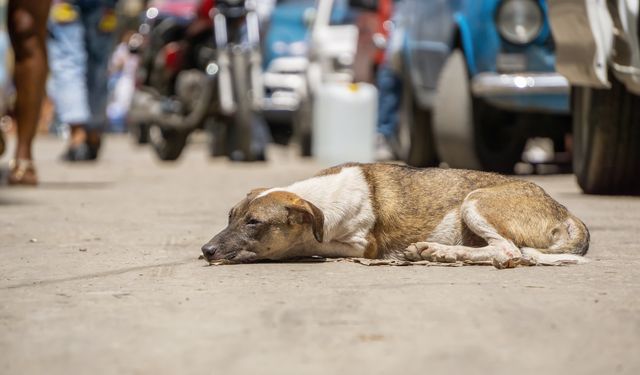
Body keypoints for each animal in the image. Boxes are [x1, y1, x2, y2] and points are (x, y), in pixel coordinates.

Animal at [201, 163, 592, 268]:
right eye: (230, 216)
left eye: (254, 222)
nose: (205, 251)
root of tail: (565, 211)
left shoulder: (363, 246)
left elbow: (309, 246)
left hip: (475, 201)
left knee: (509, 251)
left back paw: (440, 251)